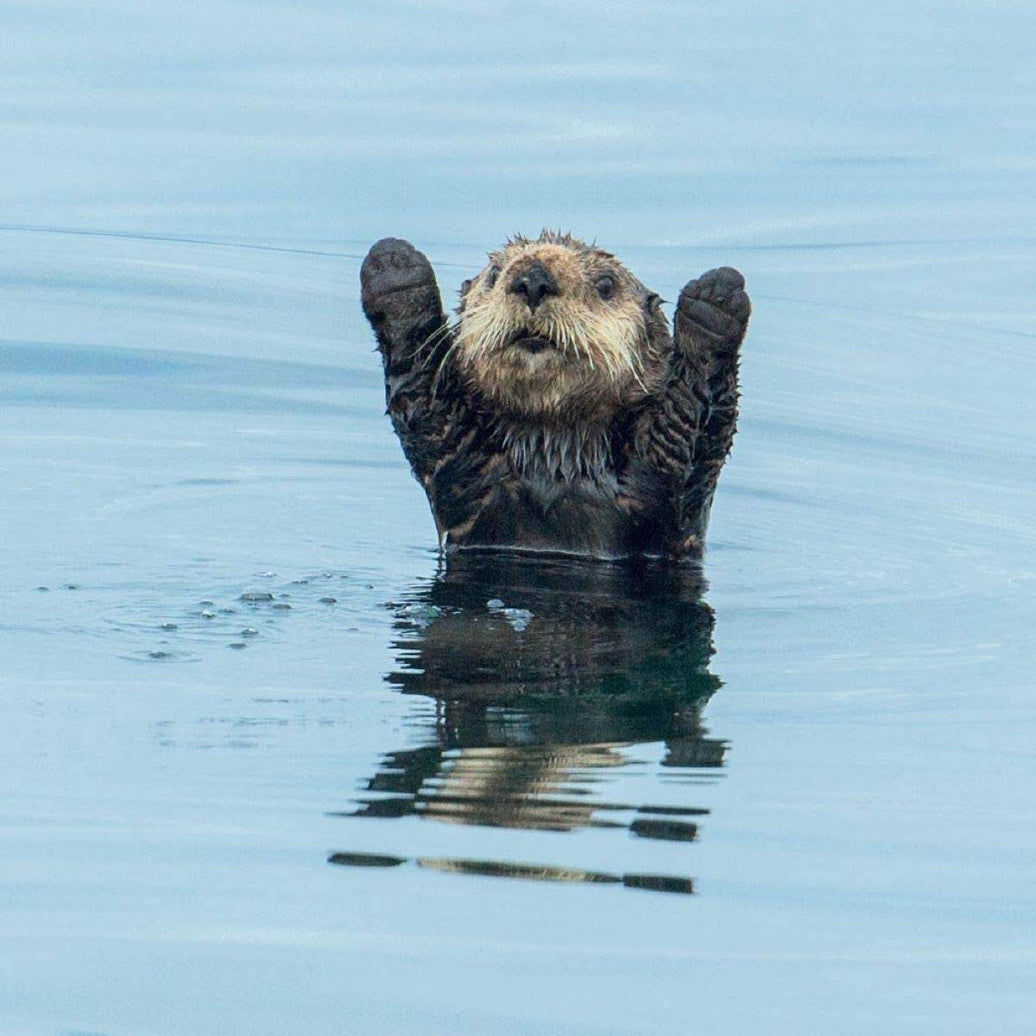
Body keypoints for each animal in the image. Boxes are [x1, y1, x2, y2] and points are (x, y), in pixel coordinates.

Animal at [360, 231, 750, 560]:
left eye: (606, 284)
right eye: (494, 274)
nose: (533, 279)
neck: (556, 456)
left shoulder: (668, 484)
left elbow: (691, 426)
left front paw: (715, 298)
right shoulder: (461, 468)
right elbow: (424, 399)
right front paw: (395, 268)